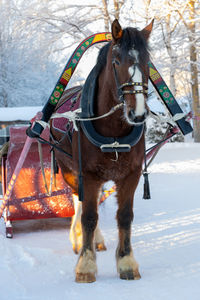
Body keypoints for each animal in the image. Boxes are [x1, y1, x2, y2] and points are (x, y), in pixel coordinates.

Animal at [50, 19, 153, 282]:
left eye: (148, 61)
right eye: (117, 61)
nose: (138, 113)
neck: (114, 130)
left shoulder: (131, 175)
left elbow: (125, 216)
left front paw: (126, 262)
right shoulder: (87, 174)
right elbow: (88, 216)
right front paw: (86, 265)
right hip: (69, 171)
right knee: (80, 202)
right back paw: (80, 240)